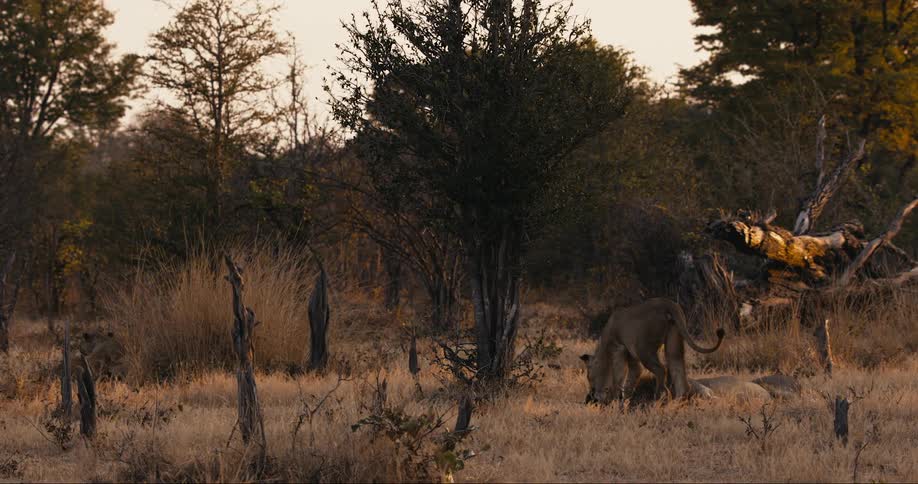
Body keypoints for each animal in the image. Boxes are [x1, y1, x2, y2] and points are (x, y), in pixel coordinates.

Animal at [580, 298, 725, 404]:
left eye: (588, 377)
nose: (591, 394)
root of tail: (668, 303)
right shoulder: (631, 356)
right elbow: (632, 376)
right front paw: (625, 401)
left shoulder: (619, 349)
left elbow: (618, 376)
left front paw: (616, 400)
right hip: (673, 342)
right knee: (678, 371)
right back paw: (677, 403)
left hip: (644, 349)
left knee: (661, 370)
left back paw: (659, 399)